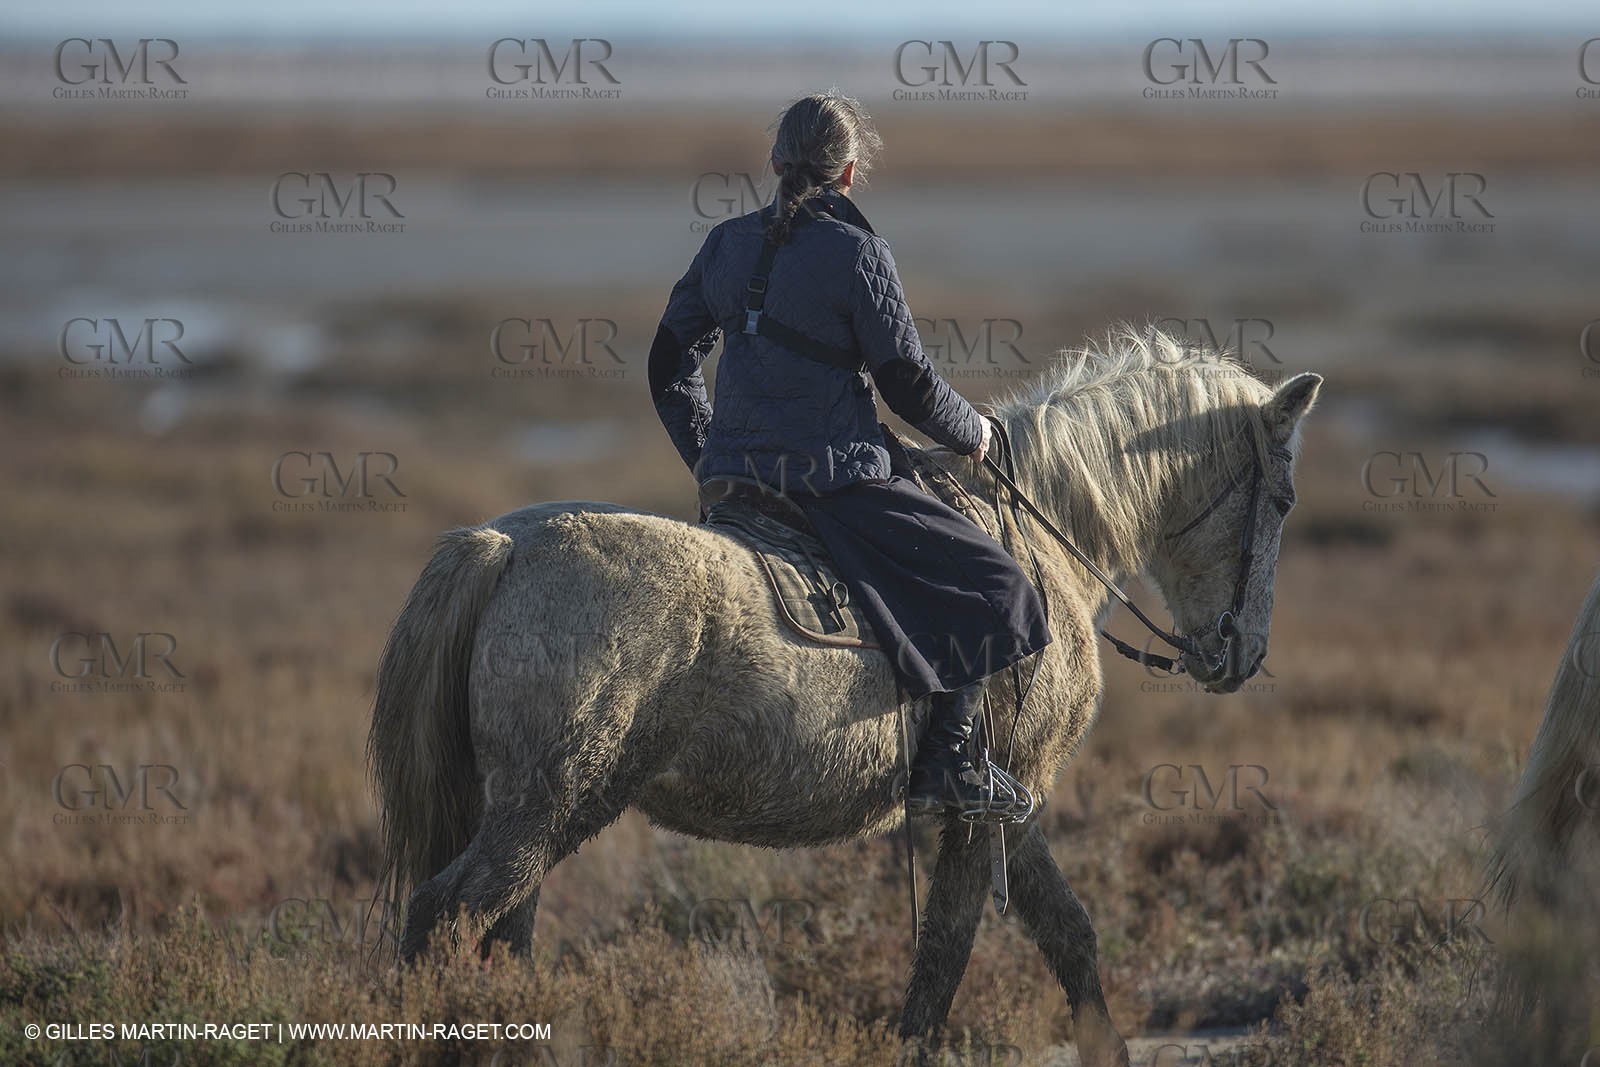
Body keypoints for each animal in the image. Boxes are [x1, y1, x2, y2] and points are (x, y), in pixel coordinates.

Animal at [368, 328, 1322, 1066]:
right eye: (1280, 497)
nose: (1241, 654)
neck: (1045, 539)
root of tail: (502, 545)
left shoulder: (1014, 801)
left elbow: (1068, 932)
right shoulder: (987, 804)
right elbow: (946, 953)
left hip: (536, 811)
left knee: (503, 930)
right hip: (549, 805)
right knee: (445, 914)